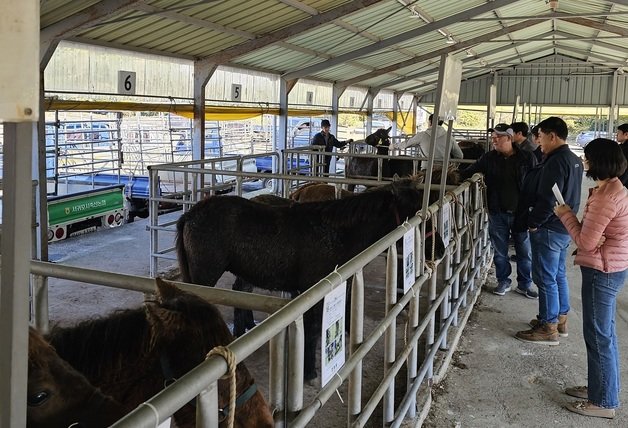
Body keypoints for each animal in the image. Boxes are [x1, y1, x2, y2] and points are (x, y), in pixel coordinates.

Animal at [174, 176, 444, 378]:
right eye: (413, 210)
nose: (440, 250)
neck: (337, 232)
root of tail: (191, 214)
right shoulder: (315, 290)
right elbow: (314, 329)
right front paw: (309, 372)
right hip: (204, 276)